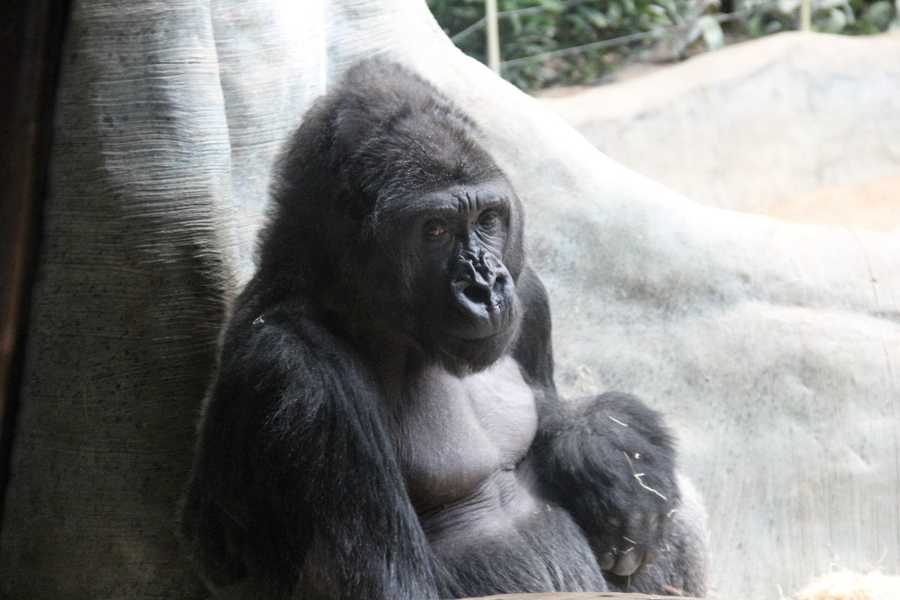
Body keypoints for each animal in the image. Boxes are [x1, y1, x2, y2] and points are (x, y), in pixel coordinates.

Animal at [179, 57, 708, 600]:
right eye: (434, 230)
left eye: (488, 218)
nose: (486, 286)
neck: (351, 301)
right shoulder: (298, 377)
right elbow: (393, 582)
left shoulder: (529, 294)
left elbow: (554, 415)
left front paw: (610, 454)